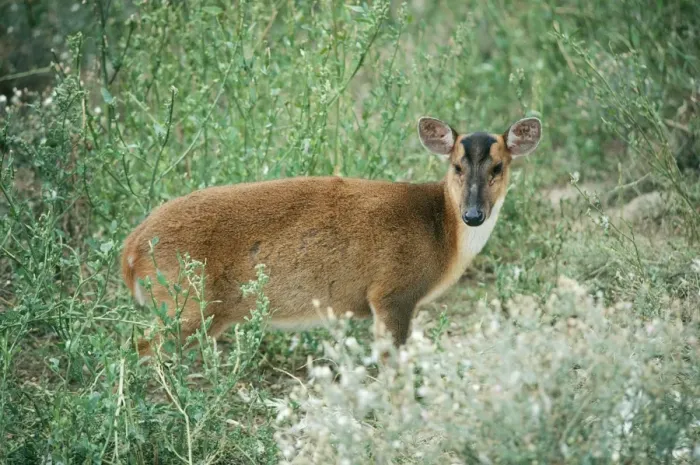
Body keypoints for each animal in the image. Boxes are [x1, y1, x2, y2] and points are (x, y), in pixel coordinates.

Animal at [121, 116, 542, 357]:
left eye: (499, 167)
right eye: (456, 166)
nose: (473, 214)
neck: (441, 232)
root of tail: (130, 250)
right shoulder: (391, 290)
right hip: (185, 302)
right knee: (138, 348)